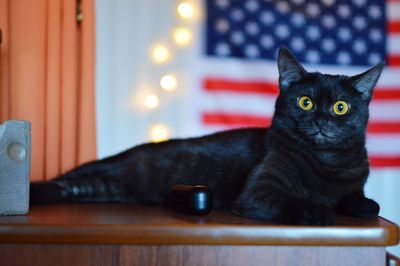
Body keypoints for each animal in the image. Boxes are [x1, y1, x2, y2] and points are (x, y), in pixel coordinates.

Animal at [30, 47, 382, 224]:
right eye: (305, 102)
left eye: (340, 107)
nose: (321, 119)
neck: (326, 163)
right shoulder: (258, 192)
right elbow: (297, 202)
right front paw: (321, 209)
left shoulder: (354, 181)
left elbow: (360, 200)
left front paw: (363, 205)